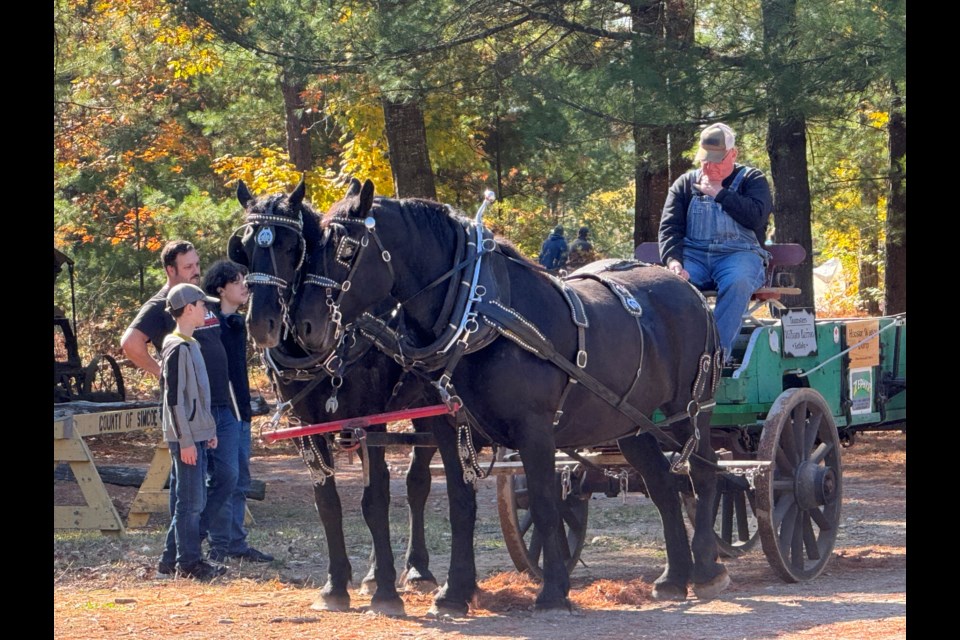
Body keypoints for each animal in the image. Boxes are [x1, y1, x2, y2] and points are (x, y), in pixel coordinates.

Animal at [226, 179, 480, 616]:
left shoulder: (367, 420)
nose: (261, 324)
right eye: (242, 247)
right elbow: (328, 501)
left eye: (292, 247)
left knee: (417, 483)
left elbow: (374, 500)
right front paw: (336, 586)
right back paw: (378, 573)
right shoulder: (308, 426)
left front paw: (387, 593)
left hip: (427, 411)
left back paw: (417, 570)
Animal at [296, 176, 732, 608]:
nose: (307, 325)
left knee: (705, 473)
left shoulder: (534, 430)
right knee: (663, 487)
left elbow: (543, 502)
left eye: (347, 250)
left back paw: (707, 568)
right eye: (310, 249)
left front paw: (553, 590)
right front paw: (455, 591)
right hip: (632, 425)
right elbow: (461, 504)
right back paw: (674, 577)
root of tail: (690, 291)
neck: (476, 314)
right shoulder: (449, 430)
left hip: (689, 412)